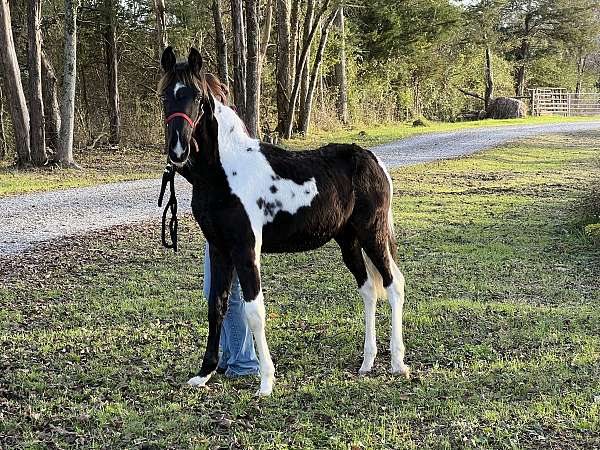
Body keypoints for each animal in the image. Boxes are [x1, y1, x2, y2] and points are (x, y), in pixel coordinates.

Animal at [157, 47, 410, 396]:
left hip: (373, 234)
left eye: (195, 96)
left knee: (393, 284)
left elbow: (254, 311)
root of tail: (373, 160)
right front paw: (204, 373)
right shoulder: (220, 248)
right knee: (369, 289)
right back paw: (367, 362)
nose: (178, 149)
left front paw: (266, 382)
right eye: (164, 95)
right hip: (348, 241)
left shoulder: (246, 249)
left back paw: (398, 363)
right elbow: (216, 306)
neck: (225, 172)